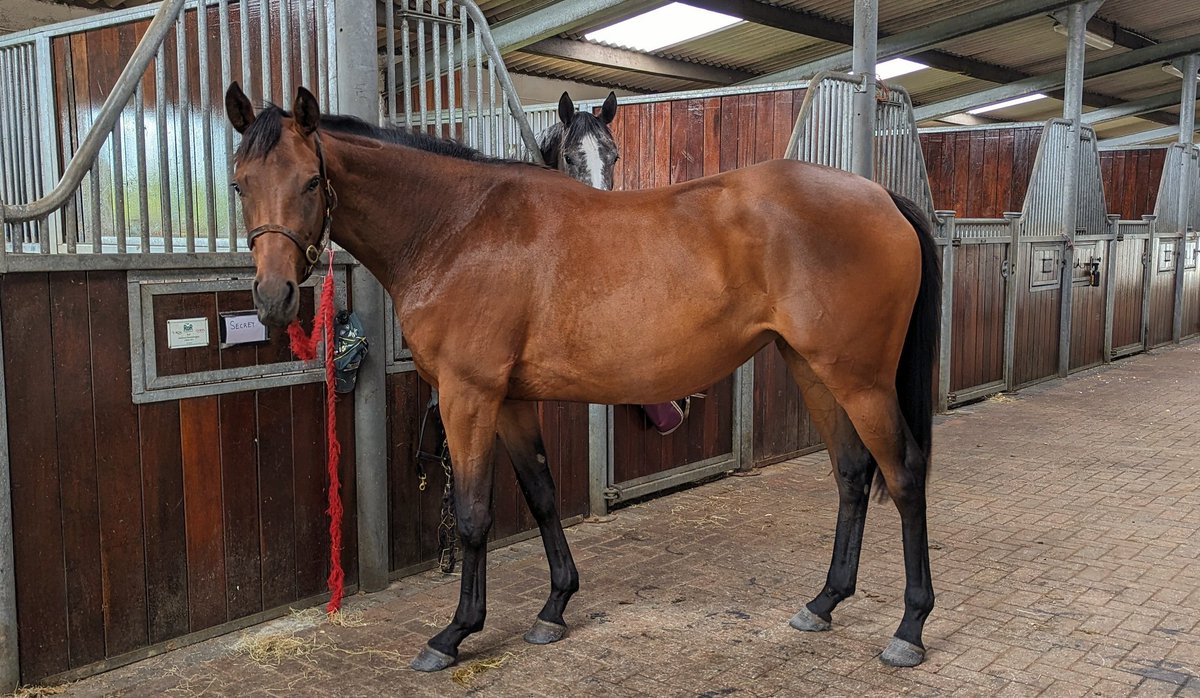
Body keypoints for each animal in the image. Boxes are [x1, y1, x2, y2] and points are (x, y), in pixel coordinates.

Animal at [225, 83, 941, 671]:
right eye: (238, 184)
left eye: (311, 182)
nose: (273, 298)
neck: (458, 226)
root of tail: (881, 195)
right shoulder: (511, 400)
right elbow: (541, 493)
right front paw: (554, 609)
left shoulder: (468, 395)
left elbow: (475, 514)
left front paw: (455, 634)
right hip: (813, 369)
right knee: (852, 473)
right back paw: (824, 603)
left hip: (860, 379)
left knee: (904, 473)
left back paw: (909, 628)